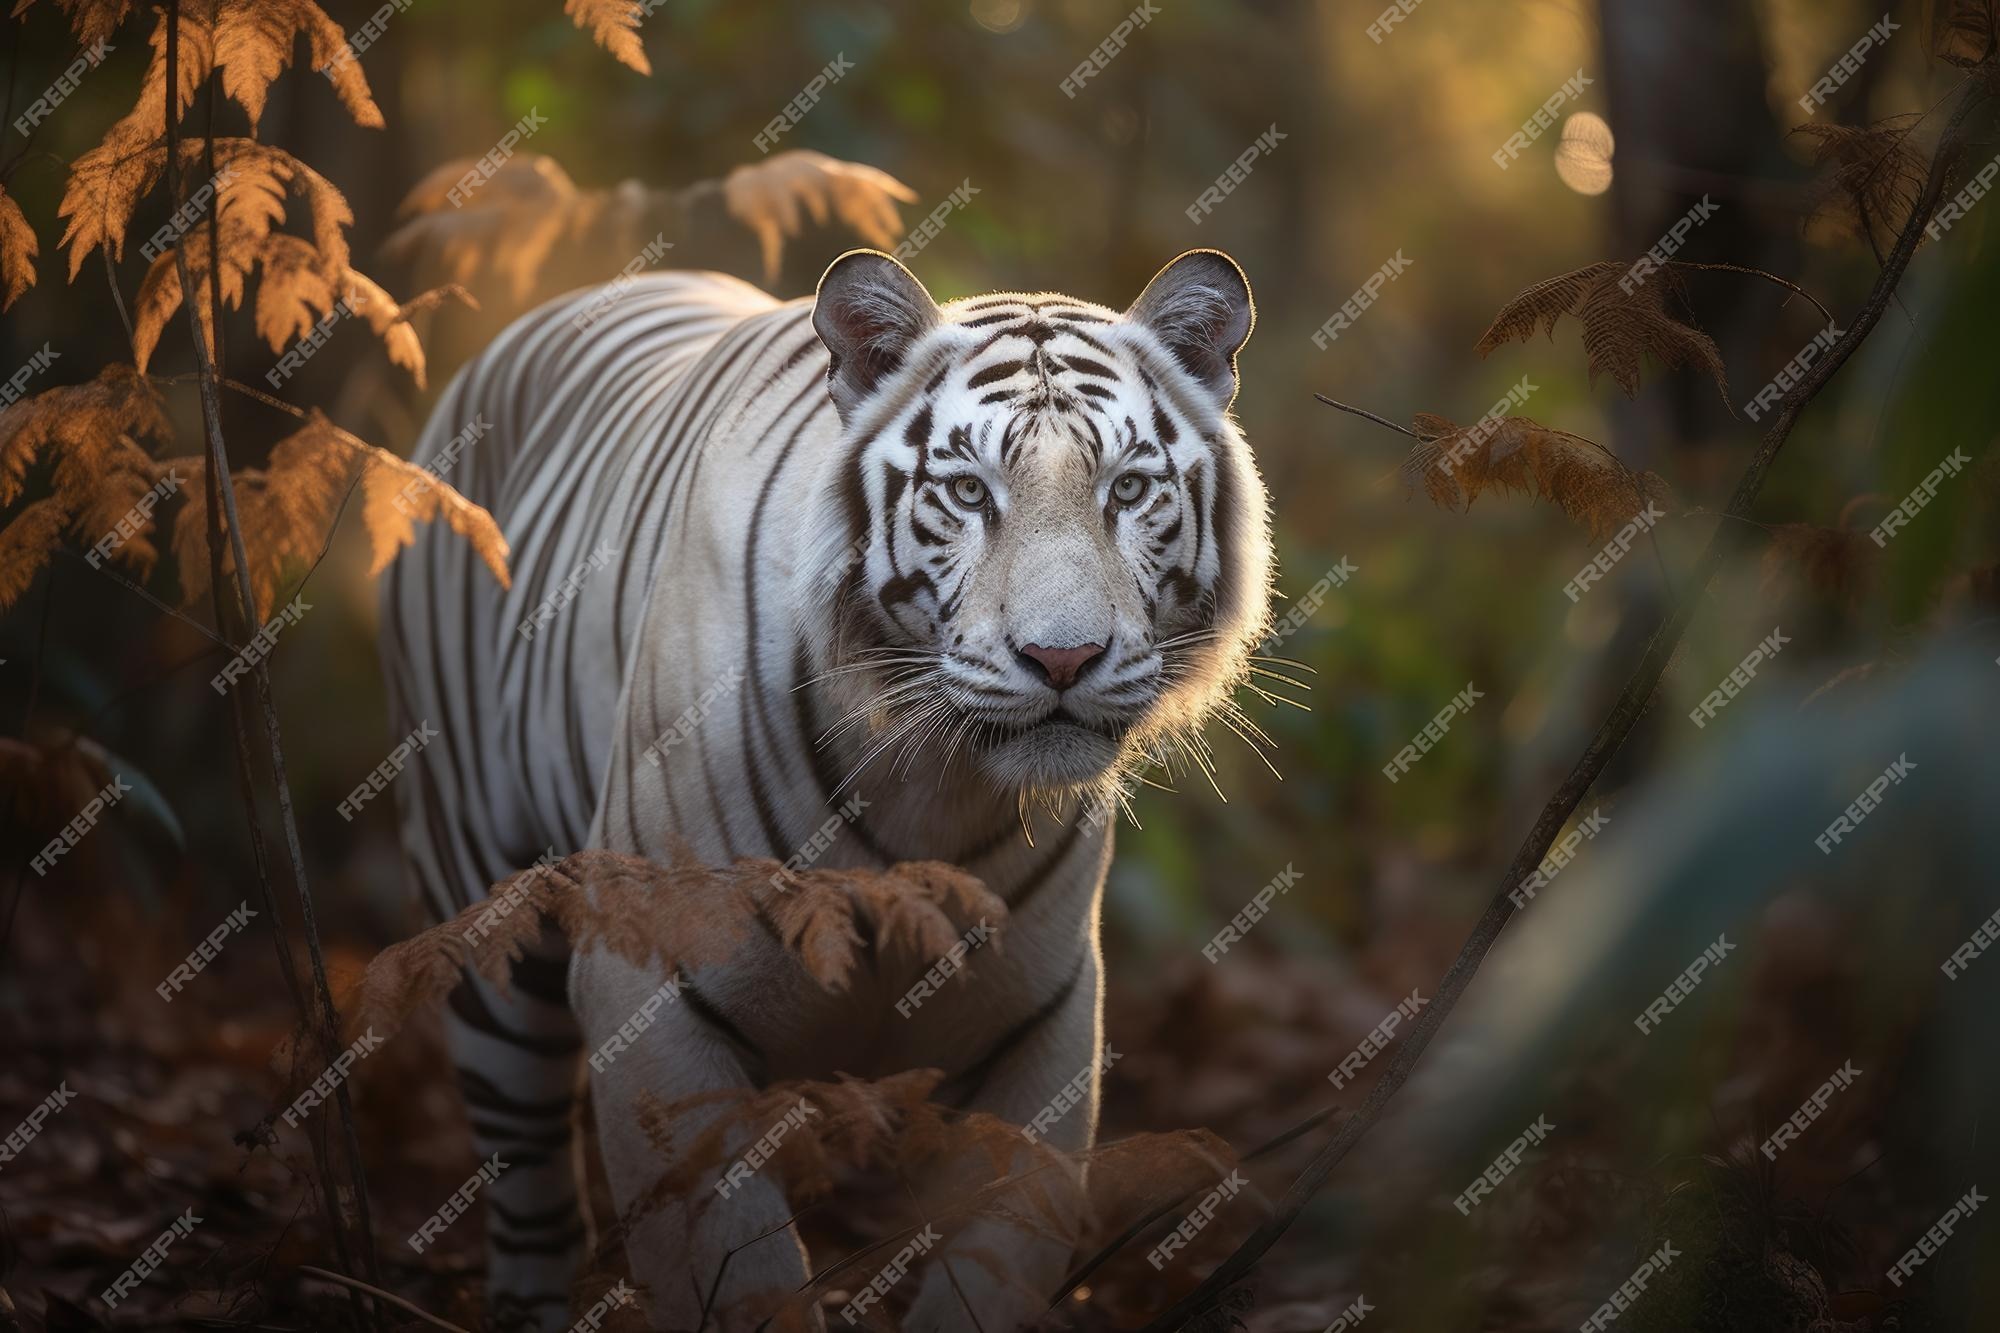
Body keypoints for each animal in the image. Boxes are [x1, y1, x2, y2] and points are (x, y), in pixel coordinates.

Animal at [378, 249, 1264, 1328]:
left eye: (1128, 488)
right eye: (967, 492)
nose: (1062, 658)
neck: (930, 783)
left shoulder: (1042, 1025)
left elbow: (988, 1267)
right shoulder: (655, 1000)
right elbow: (739, 1267)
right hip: (488, 926)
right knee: (530, 1186)